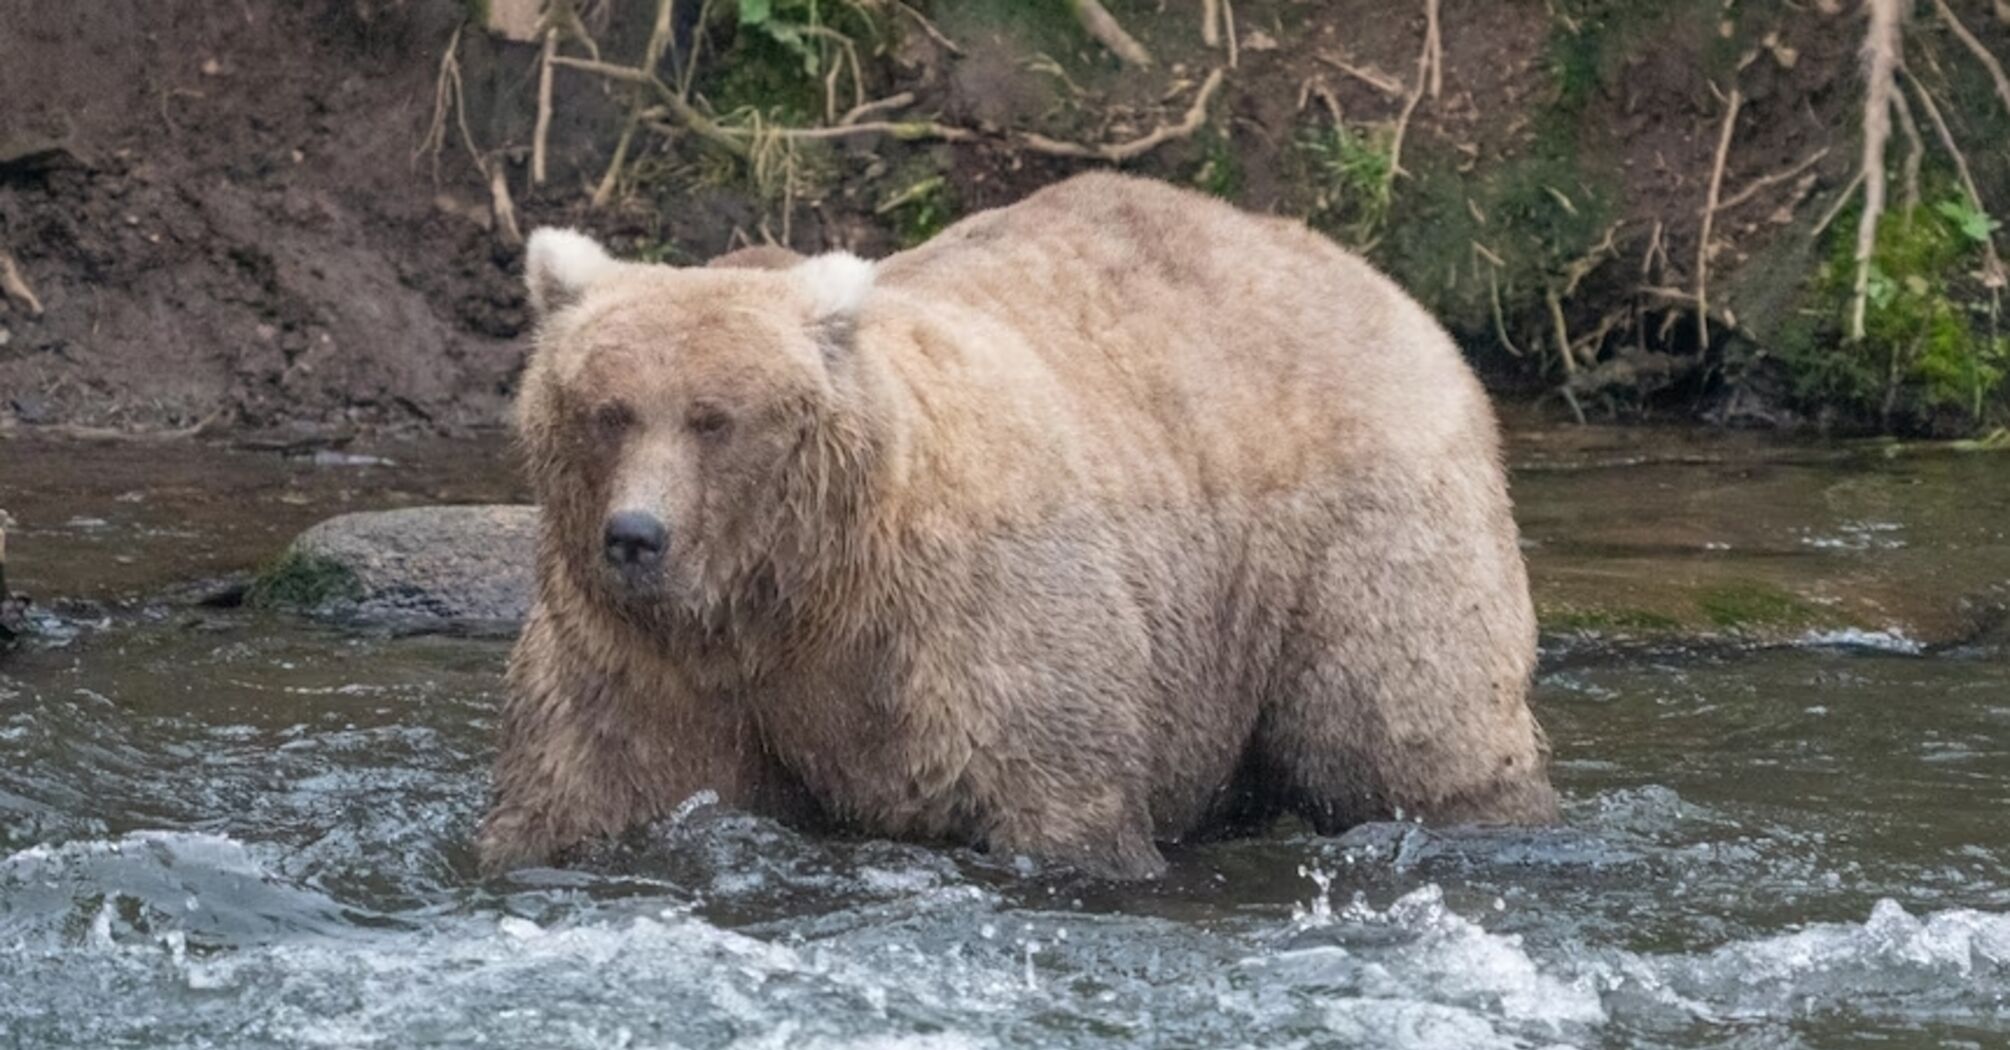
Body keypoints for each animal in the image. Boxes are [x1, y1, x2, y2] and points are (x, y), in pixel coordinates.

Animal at [478, 171, 1559, 872]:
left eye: (714, 418)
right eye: (607, 409)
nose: (636, 537)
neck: (793, 591)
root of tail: (1381, 282)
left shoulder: (968, 628)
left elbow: (1056, 796)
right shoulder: (647, 661)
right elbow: (587, 786)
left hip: (1356, 528)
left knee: (1402, 723)